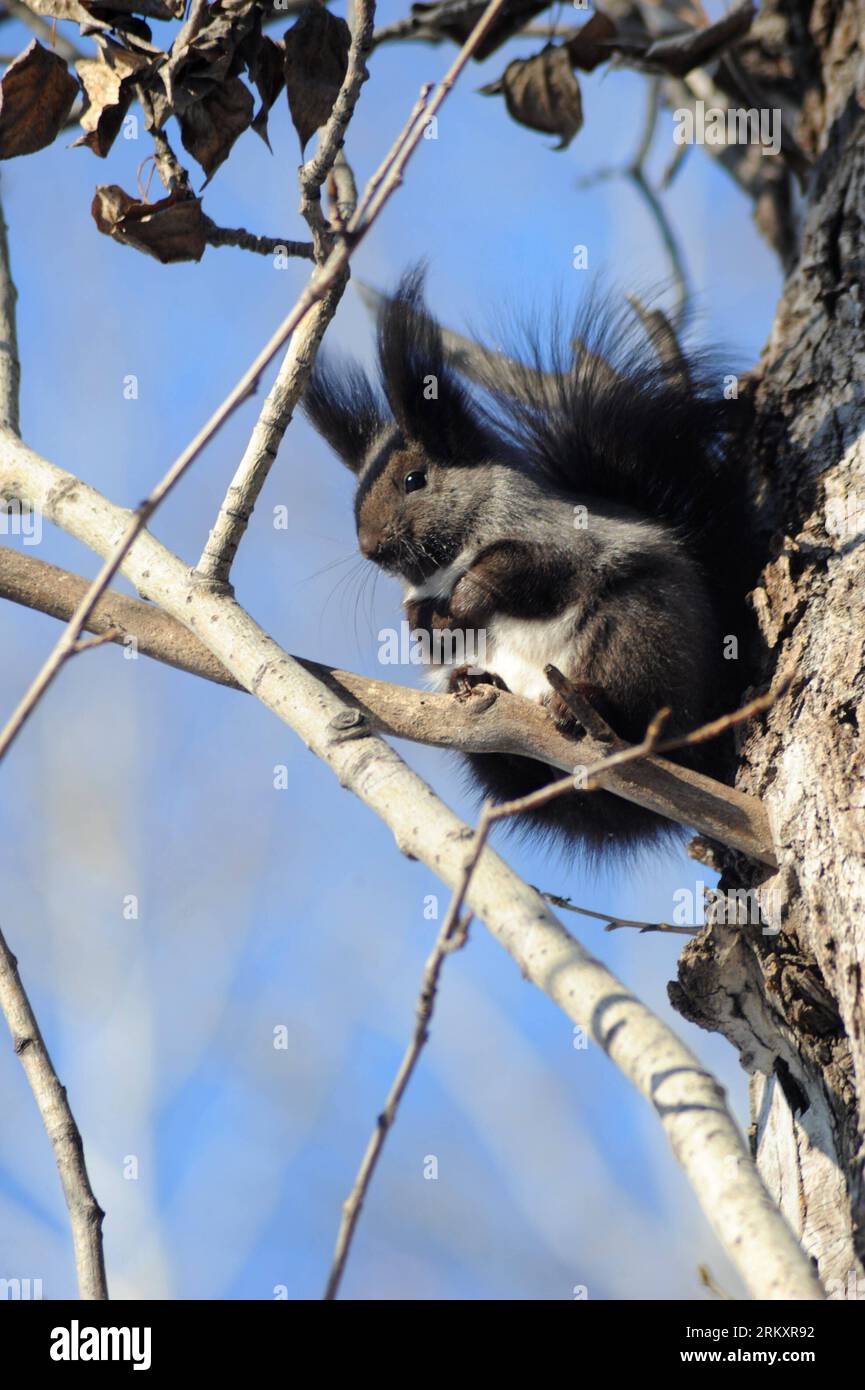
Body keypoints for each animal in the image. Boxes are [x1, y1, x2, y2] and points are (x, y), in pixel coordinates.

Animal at [303, 269, 756, 856]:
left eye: (413, 479)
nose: (369, 546)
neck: (449, 560)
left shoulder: (561, 540)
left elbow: (530, 571)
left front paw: (471, 594)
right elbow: (429, 634)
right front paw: (431, 620)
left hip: (642, 635)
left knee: (643, 707)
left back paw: (584, 702)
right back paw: (483, 690)